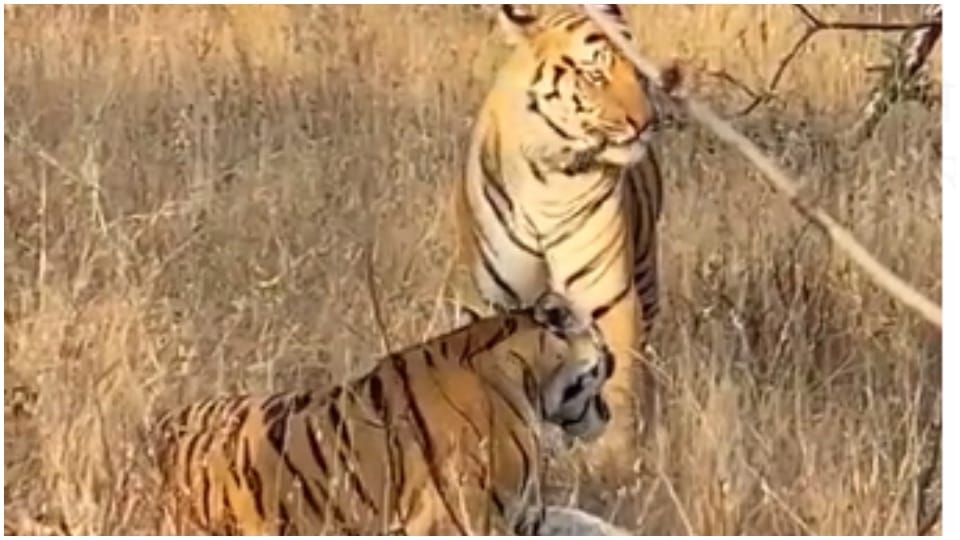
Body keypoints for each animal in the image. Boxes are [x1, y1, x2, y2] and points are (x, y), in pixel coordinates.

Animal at [452, 4, 665, 463]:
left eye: (638, 74)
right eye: (596, 76)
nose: (647, 123)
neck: (549, 178)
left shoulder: (607, 299)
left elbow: (619, 386)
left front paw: (614, 466)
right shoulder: (496, 300)